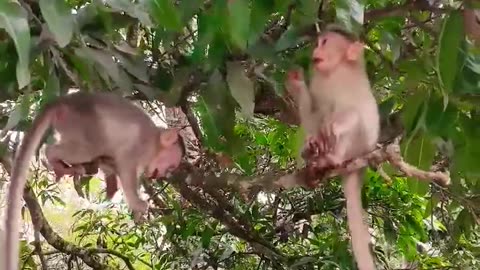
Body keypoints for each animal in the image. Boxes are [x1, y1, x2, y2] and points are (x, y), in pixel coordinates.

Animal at [4, 92, 186, 270]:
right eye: (170, 166)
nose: (162, 173)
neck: (154, 140)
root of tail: (64, 100)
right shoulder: (141, 146)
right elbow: (126, 167)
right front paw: (138, 203)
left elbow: (111, 163)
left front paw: (112, 186)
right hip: (82, 123)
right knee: (88, 148)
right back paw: (50, 156)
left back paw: (70, 167)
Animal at [284, 24, 380, 268]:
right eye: (318, 43)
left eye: (325, 42)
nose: (315, 50)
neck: (334, 73)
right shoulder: (318, 83)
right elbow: (314, 117)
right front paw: (296, 83)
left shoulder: (354, 84)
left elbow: (358, 113)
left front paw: (335, 124)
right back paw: (313, 156)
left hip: (358, 149)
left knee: (352, 123)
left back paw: (332, 156)